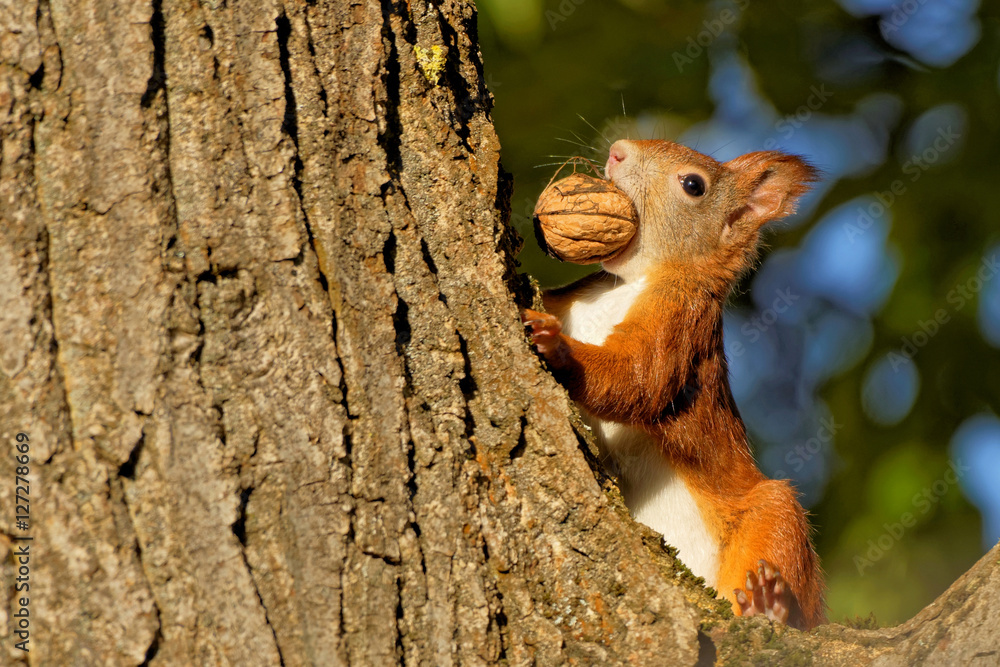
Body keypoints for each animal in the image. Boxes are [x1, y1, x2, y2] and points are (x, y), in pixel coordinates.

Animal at [522, 139, 826, 629]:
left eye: (693, 185)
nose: (618, 150)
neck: (629, 282)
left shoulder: (682, 321)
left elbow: (638, 378)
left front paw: (559, 348)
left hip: (771, 517)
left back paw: (771, 607)